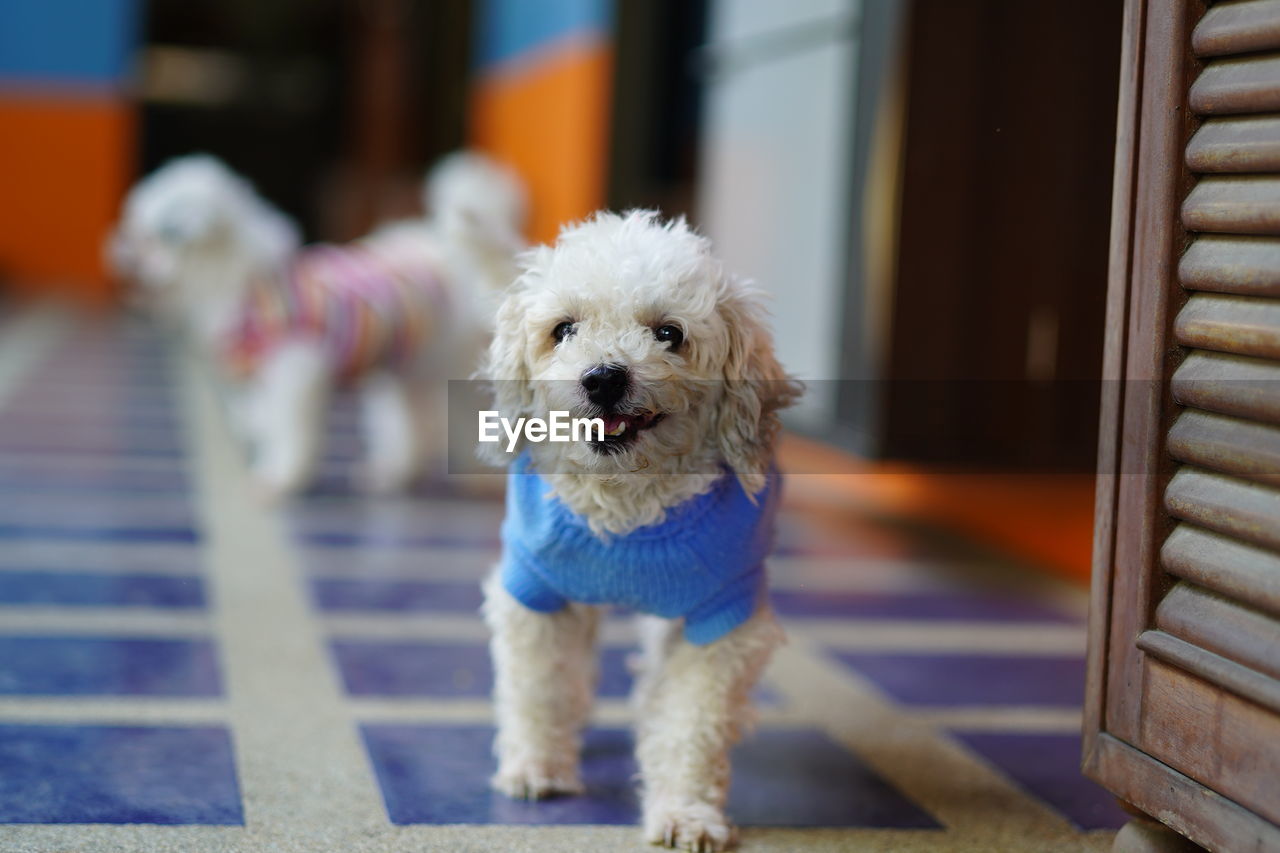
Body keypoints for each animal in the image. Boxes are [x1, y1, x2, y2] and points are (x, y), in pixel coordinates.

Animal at [108, 150, 524, 494]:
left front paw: (281, 476)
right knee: (410, 425)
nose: (117, 247)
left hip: (449, 362)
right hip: (409, 364)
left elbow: (287, 426)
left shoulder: (293, 371)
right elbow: (261, 418)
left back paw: (478, 478)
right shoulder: (260, 377)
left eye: (146, 237)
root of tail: (440, 243)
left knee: (464, 418)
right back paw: (390, 471)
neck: (239, 280)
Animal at [481, 208, 798, 845]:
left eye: (669, 333)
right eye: (564, 329)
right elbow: (537, 688)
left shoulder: (720, 618)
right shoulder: (535, 593)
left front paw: (686, 811)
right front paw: (535, 766)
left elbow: (691, 723)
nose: (603, 377)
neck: (626, 515)